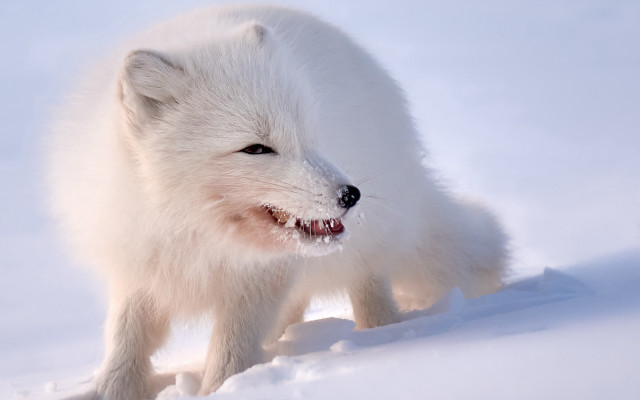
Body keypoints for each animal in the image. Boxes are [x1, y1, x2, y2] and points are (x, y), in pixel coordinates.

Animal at [47, 4, 507, 399]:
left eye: (308, 134)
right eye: (256, 149)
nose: (350, 195)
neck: (196, 231)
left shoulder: (258, 279)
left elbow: (232, 348)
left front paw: (223, 390)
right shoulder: (141, 268)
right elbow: (126, 342)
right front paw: (109, 391)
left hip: (369, 248)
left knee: (370, 289)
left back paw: (378, 337)